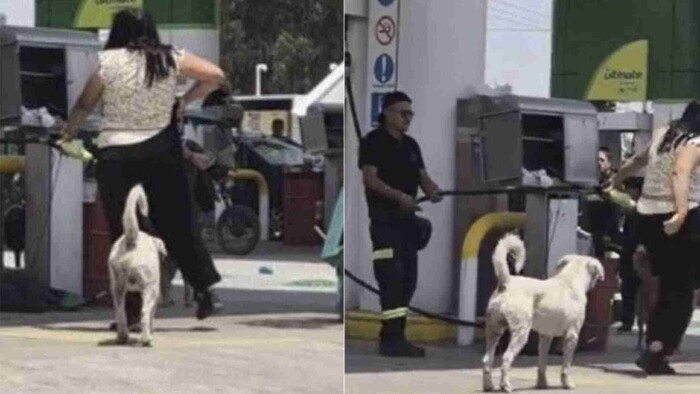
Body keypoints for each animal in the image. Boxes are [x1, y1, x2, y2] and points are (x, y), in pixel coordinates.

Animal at [107, 184, 166, 344]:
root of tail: (131, 240)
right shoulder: (155, 292)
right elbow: (150, 314)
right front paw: (151, 329)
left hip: (117, 287)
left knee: (120, 311)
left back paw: (122, 336)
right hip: (150, 288)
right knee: (144, 312)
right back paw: (146, 339)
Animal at [484, 234, 604, 390]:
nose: (598, 281)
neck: (570, 280)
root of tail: (506, 282)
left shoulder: (545, 336)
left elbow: (542, 363)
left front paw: (542, 384)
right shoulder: (571, 336)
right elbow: (566, 366)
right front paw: (567, 383)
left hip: (493, 331)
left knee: (487, 360)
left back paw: (488, 386)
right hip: (521, 332)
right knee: (506, 358)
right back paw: (506, 385)